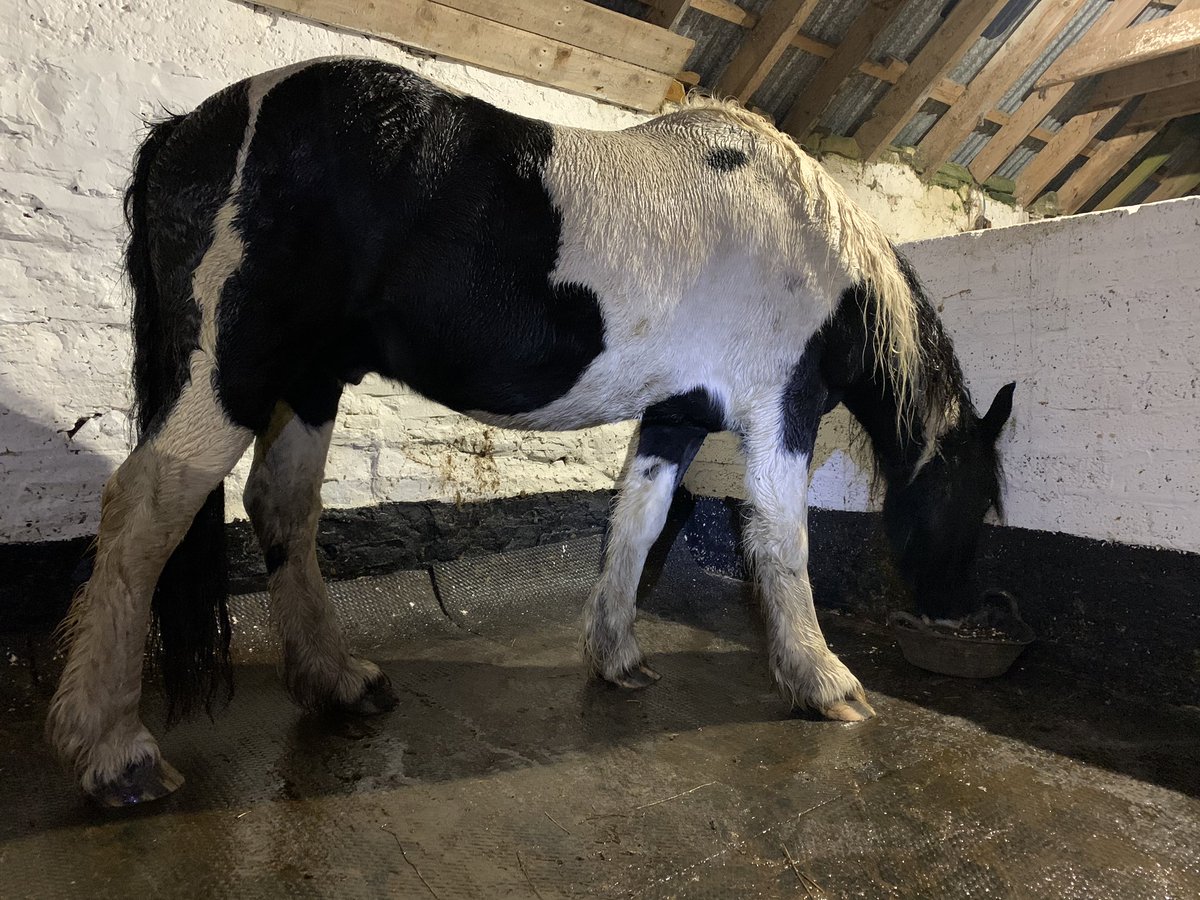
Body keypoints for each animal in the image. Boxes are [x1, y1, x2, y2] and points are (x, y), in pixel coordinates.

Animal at [46, 58, 1014, 806]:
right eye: (972, 502)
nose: (955, 610)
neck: (805, 236)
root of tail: (193, 128)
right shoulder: (782, 407)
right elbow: (782, 545)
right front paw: (824, 682)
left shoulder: (676, 415)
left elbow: (637, 525)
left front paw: (617, 656)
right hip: (238, 368)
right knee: (148, 506)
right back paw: (117, 755)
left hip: (310, 381)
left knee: (283, 509)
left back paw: (338, 682)